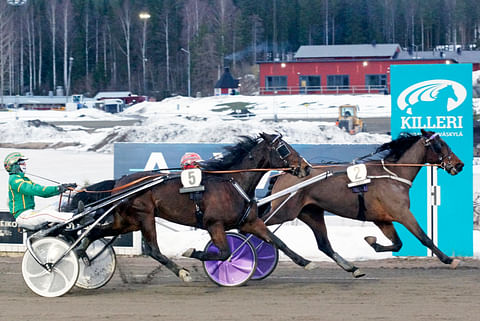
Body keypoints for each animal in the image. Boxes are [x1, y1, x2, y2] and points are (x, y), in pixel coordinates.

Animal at [71, 131, 312, 282]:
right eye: (284, 148)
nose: (306, 167)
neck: (232, 182)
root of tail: (120, 181)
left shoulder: (249, 222)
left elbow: (278, 241)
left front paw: (305, 261)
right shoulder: (214, 224)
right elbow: (224, 253)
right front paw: (194, 253)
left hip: (127, 221)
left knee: (96, 232)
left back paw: (81, 253)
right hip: (145, 216)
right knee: (153, 249)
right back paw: (182, 273)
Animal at [264, 129, 464, 276]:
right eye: (440, 145)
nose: (459, 164)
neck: (393, 175)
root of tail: (283, 173)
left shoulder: (382, 219)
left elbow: (398, 243)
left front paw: (372, 241)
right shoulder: (402, 213)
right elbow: (424, 238)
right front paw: (450, 259)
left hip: (311, 213)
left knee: (324, 244)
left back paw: (351, 268)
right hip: (285, 211)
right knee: (261, 224)